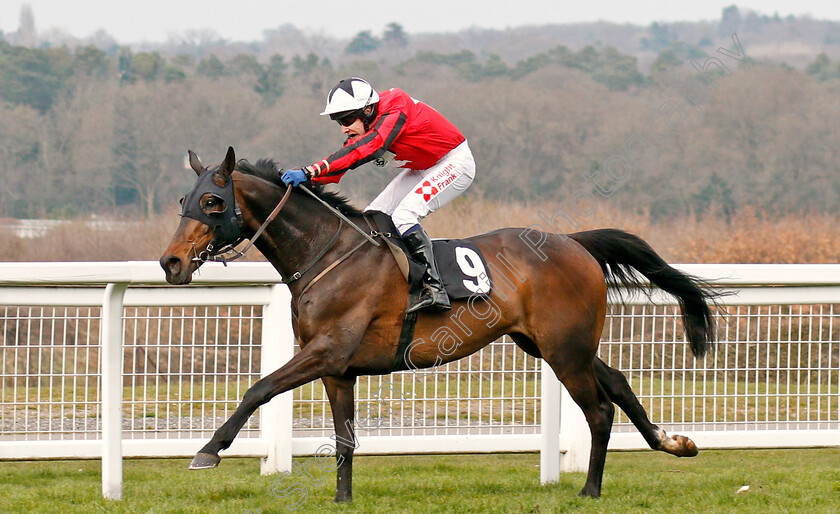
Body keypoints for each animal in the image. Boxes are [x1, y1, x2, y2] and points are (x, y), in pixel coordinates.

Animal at [161, 146, 720, 498]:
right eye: (183, 200)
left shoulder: (325, 352)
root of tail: (575, 242)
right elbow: (344, 441)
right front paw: (342, 499)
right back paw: (673, 443)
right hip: (551, 345)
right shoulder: (338, 370)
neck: (328, 254)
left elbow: (258, 388)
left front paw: (208, 451)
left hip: (565, 350)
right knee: (619, 382)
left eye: (213, 202)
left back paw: (590, 489)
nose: (170, 263)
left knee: (600, 410)